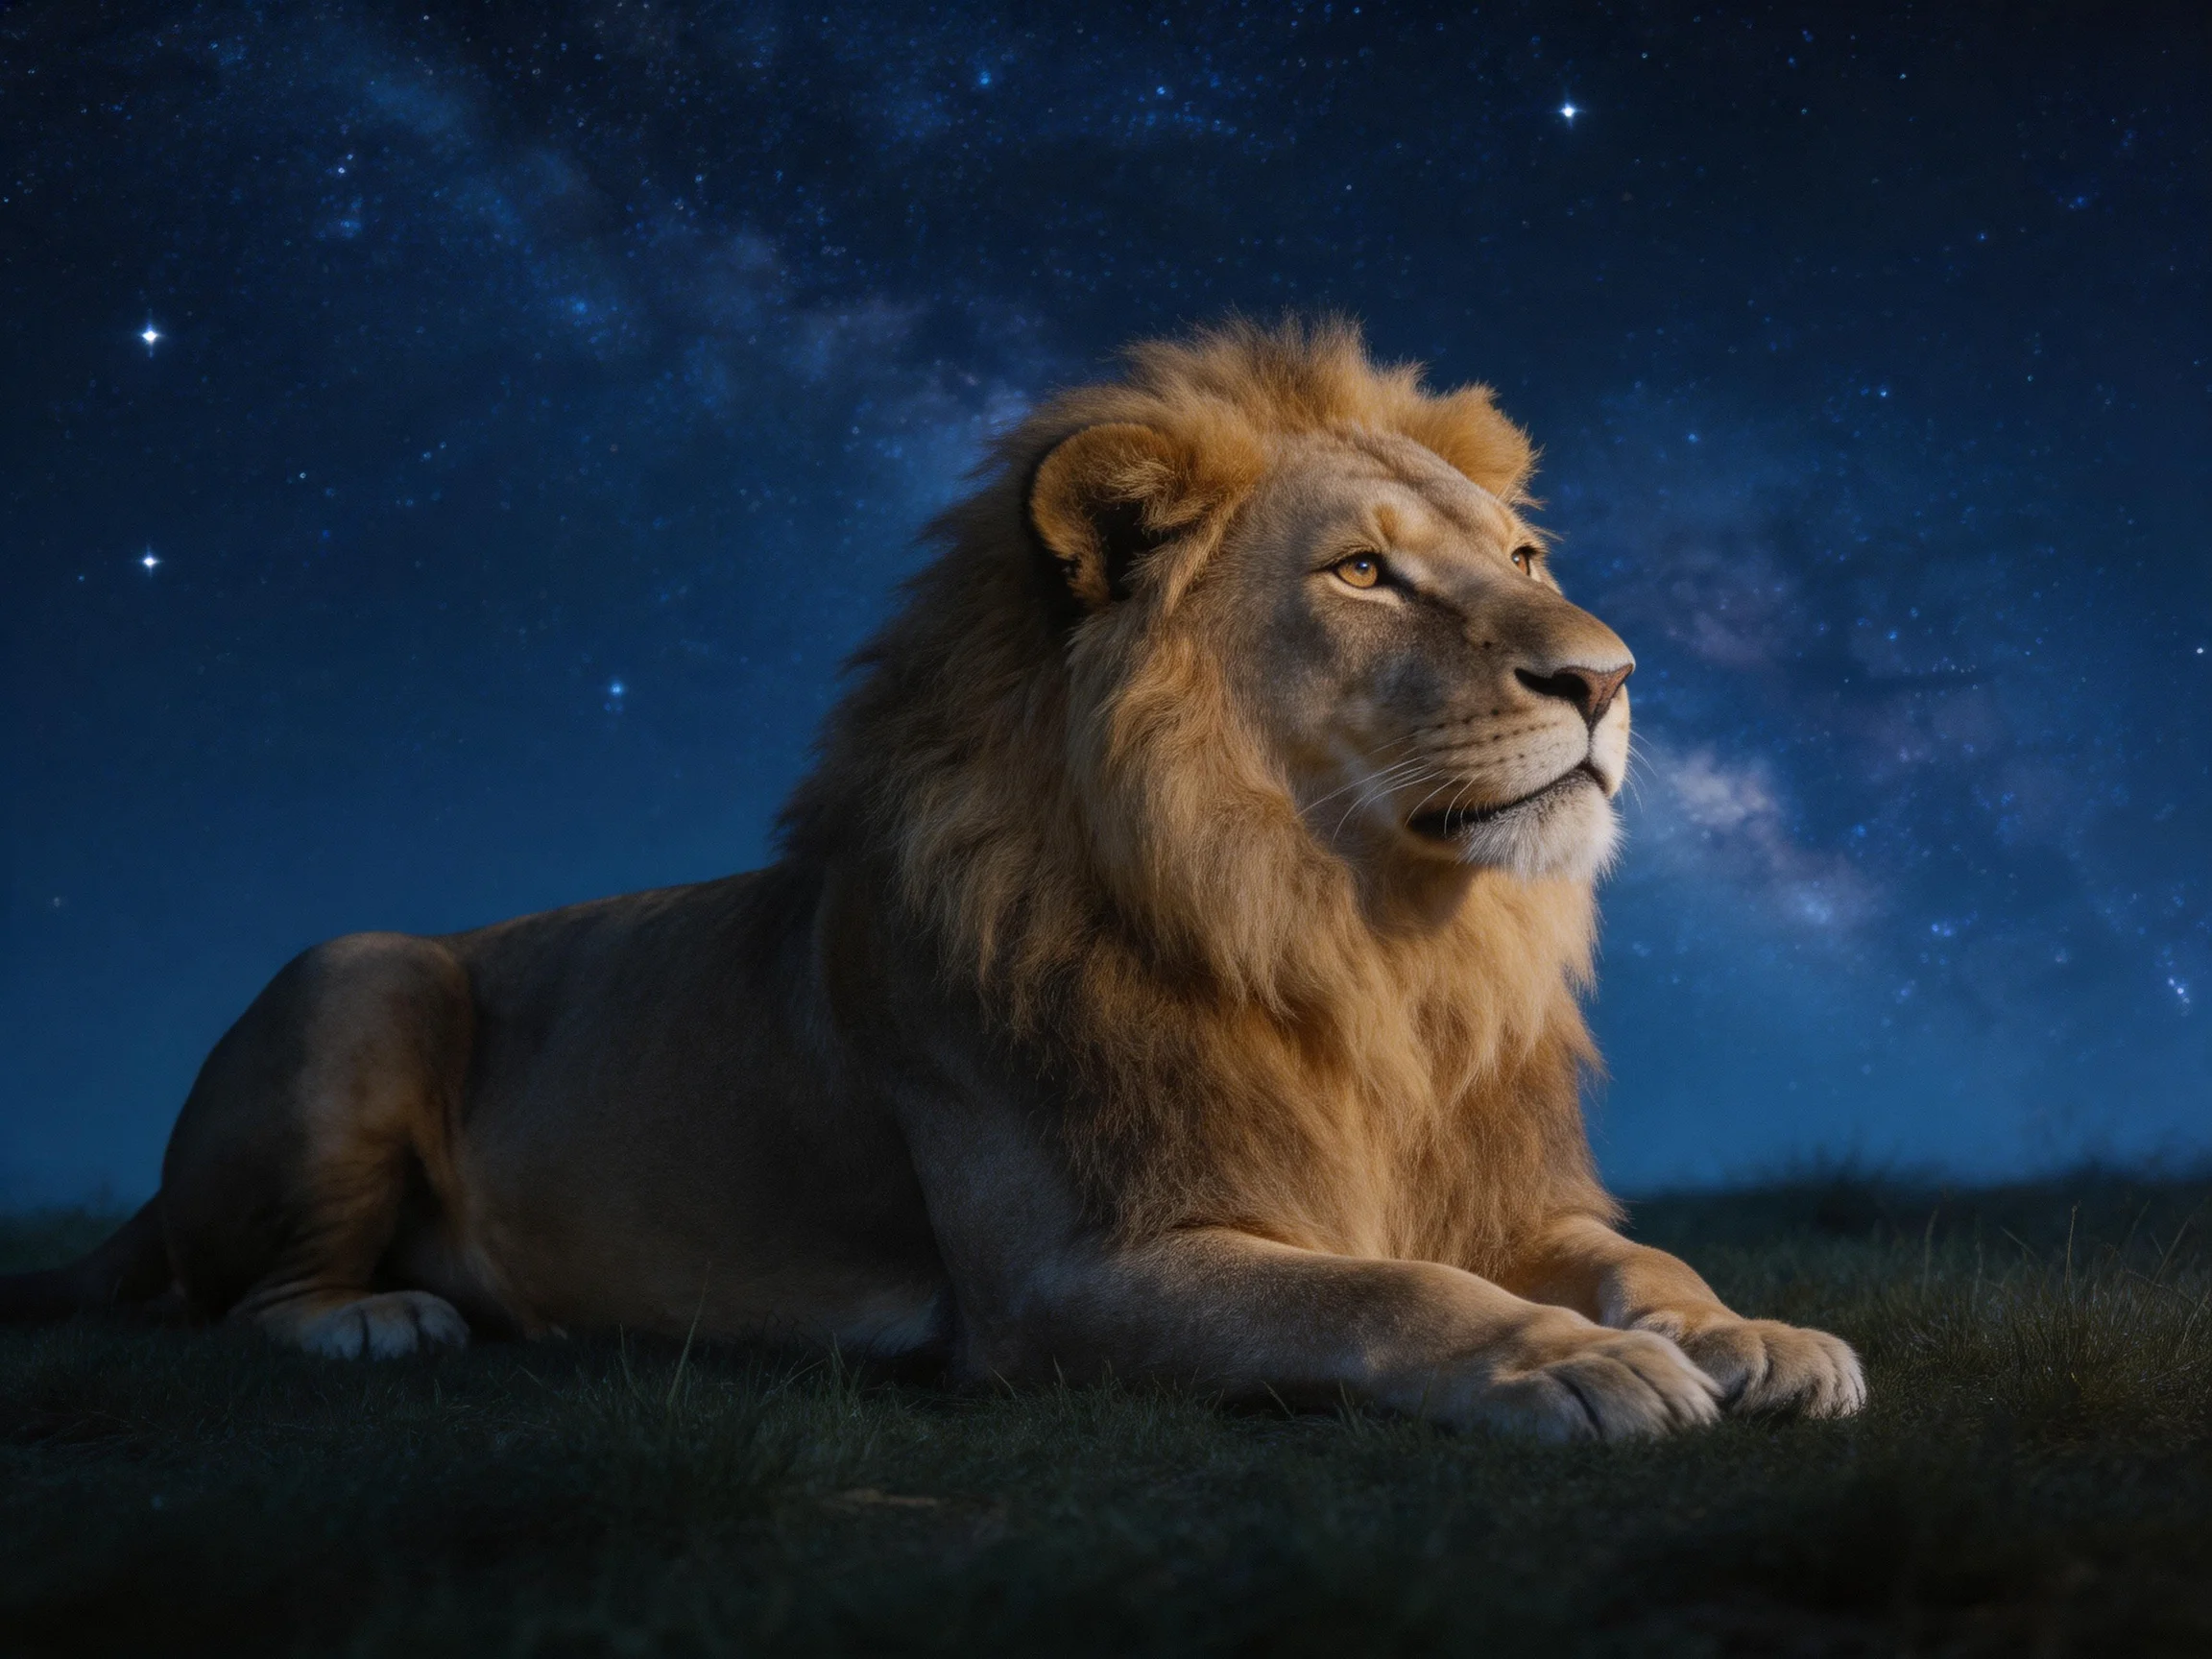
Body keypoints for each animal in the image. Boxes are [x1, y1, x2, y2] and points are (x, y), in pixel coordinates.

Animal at [2, 318, 1863, 1439]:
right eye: (1360, 573)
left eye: (1524, 552)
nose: (1611, 677)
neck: (1360, 946)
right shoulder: (1070, 1280)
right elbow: (1381, 1292)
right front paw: (1574, 1363)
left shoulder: (1510, 1194)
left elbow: (1642, 1260)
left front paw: (1753, 1334)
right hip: (360, 964)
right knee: (236, 1300)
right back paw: (380, 1320)